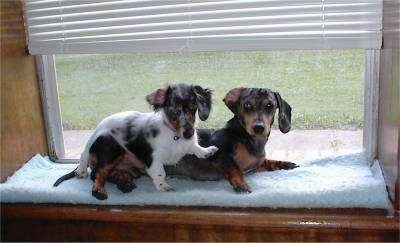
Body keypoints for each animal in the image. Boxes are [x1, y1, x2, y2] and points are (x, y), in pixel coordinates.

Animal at [53, 83, 219, 199]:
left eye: (193, 107)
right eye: (174, 110)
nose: (189, 133)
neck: (175, 135)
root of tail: (91, 142)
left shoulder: (188, 143)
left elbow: (195, 148)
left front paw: (206, 151)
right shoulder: (154, 159)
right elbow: (160, 173)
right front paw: (163, 186)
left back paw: (125, 181)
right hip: (112, 148)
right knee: (97, 172)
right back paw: (99, 190)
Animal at [167, 87, 298, 192]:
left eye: (269, 105)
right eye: (247, 105)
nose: (258, 128)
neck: (247, 139)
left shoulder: (256, 165)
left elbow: (267, 162)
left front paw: (284, 164)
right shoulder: (220, 157)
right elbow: (235, 169)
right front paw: (241, 184)